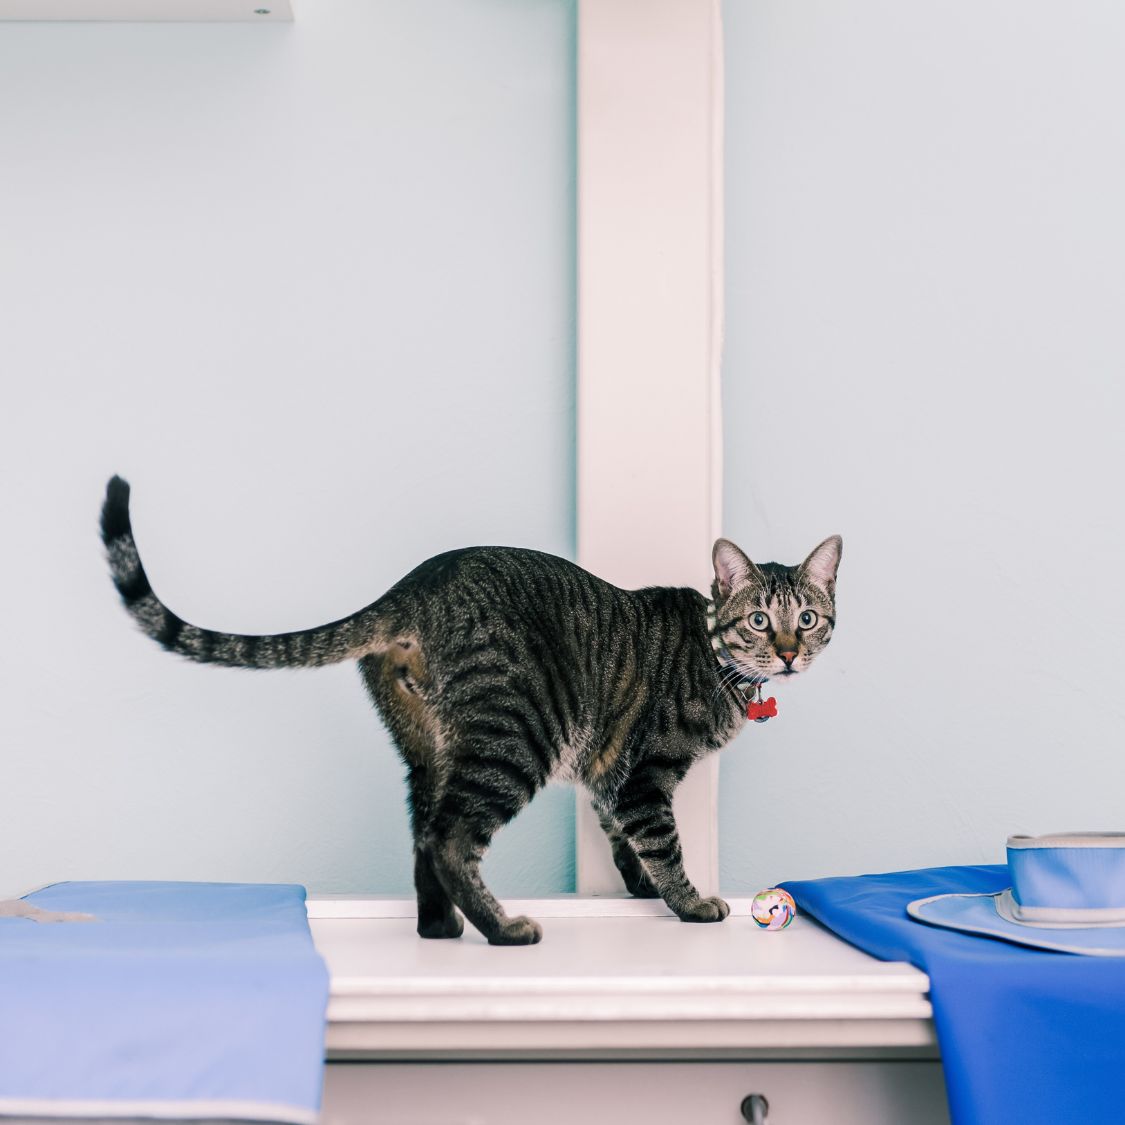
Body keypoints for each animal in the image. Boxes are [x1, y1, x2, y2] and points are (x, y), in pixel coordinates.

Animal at [101, 474, 841, 940]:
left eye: (806, 618)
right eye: (758, 620)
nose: (786, 653)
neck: (716, 656)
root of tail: (412, 586)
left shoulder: (608, 773)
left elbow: (618, 834)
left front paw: (636, 886)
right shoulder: (645, 771)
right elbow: (660, 840)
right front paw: (687, 902)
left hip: (430, 749)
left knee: (423, 836)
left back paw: (439, 926)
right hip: (516, 737)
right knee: (450, 839)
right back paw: (503, 929)